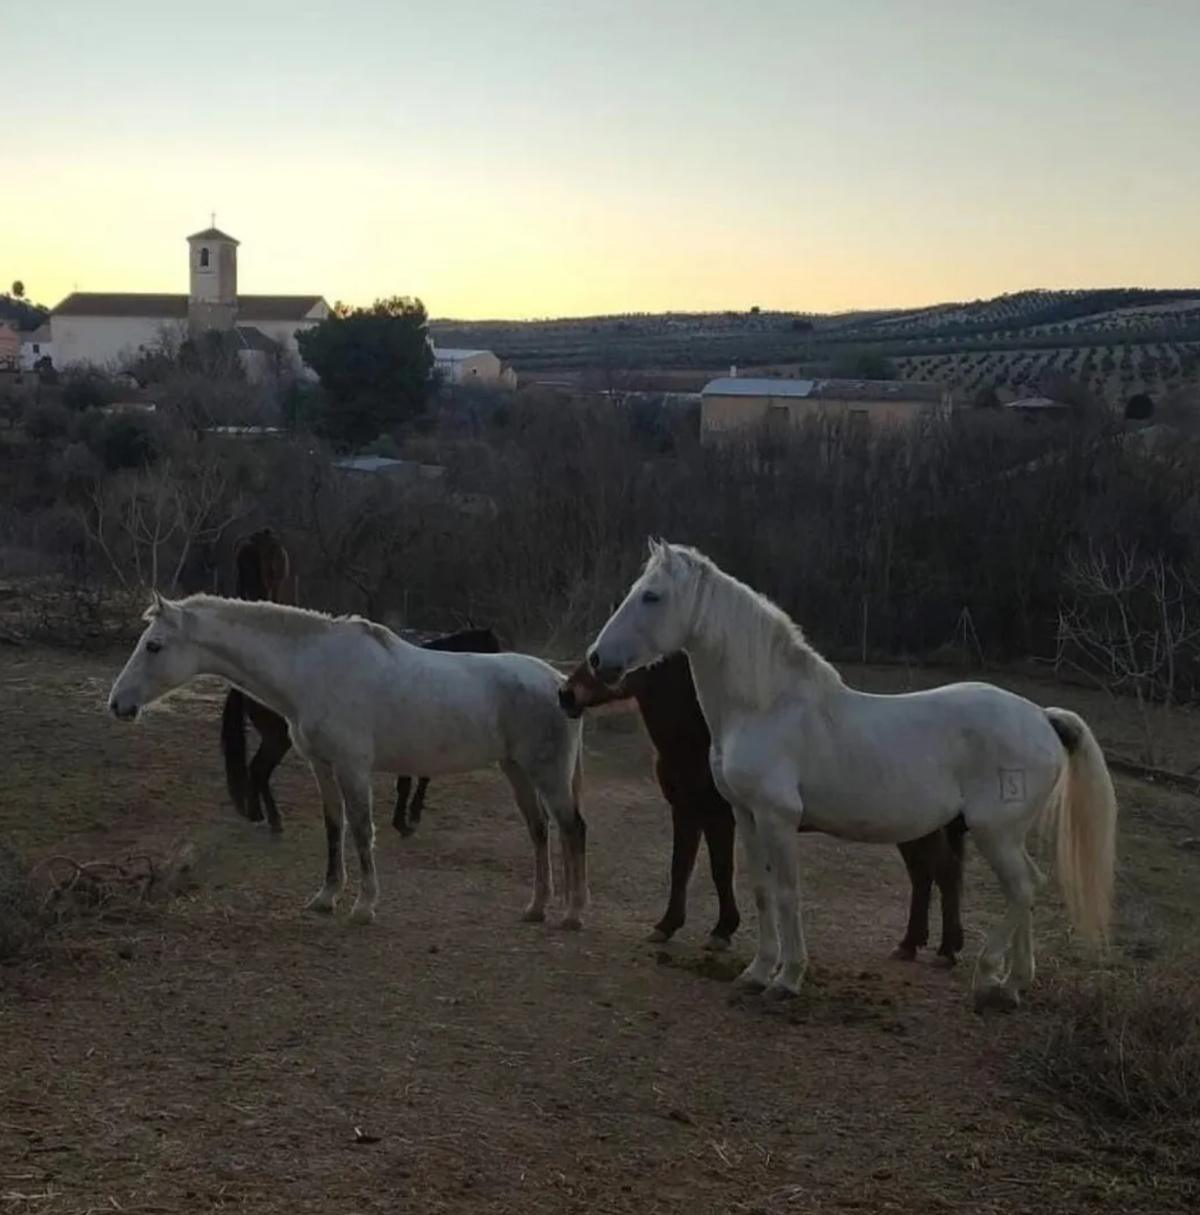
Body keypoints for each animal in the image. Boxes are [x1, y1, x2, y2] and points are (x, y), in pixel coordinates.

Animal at [109, 593, 588, 928]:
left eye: (154, 646)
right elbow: (334, 827)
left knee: (572, 829)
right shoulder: (323, 767)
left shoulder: (353, 768)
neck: (314, 668)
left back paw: (572, 915)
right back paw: (536, 907)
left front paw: (363, 905)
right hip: (517, 771)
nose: (118, 704)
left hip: (548, 774)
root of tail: (559, 682)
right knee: (540, 831)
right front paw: (326, 897)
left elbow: (361, 829)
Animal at [559, 654, 967, 962]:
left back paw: (945, 950)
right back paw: (911, 944)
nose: (566, 693)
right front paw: (666, 925)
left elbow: (720, 869)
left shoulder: (720, 816)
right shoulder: (686, 812)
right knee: (924, 875)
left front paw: (722, 930)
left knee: (944, 872)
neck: (703, 736)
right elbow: (680, 868)